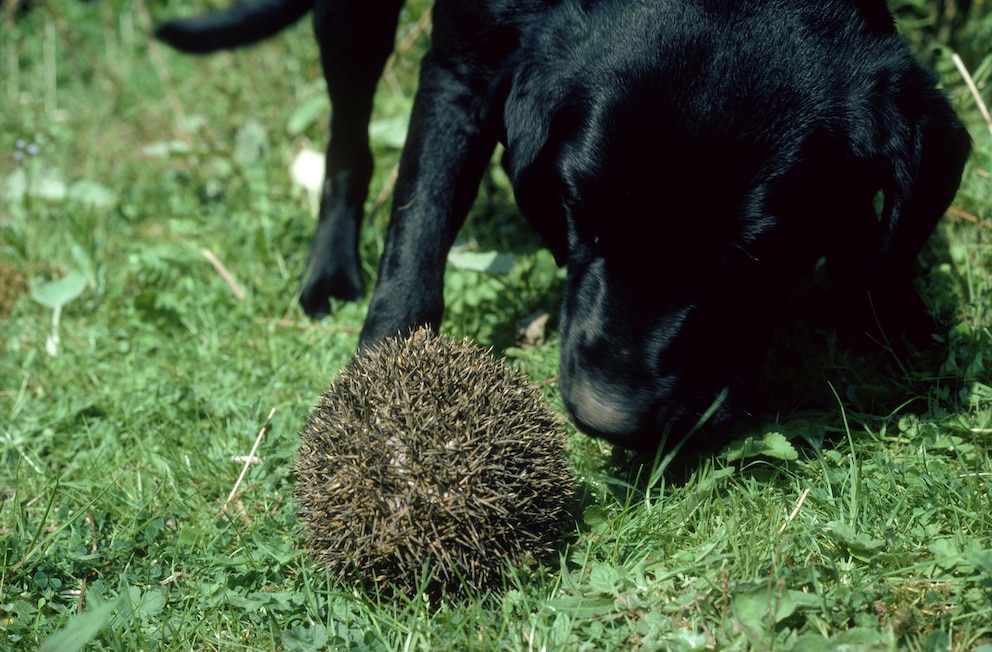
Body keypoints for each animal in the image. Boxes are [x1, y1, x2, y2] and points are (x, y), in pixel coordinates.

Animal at [157, 1, 968, 454]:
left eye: (756, 256)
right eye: (584, 211)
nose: (605, 417)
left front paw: (894, 315)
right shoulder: (463, 65)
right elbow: (416, 235)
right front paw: (383, 387)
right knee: (349, 140)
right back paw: (329, 271)